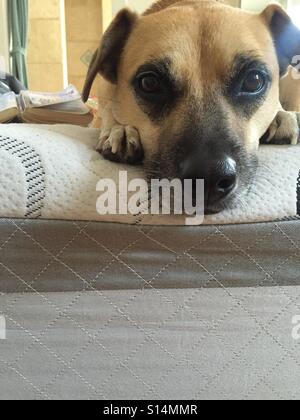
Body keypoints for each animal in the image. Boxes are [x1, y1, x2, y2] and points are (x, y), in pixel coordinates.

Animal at [81, 0, 300, 213]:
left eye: (253, 80)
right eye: (150, 83)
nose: (208, 177)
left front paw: (283, 116)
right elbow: (107, 111)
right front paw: (120, 129)